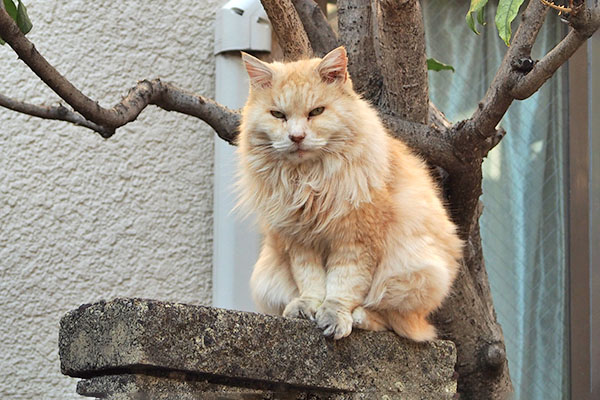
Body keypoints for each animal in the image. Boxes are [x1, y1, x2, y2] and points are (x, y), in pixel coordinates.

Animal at [237, 46, 462, 340]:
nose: (296, 137)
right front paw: (307, 308)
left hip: (413, 273)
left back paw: (361, 317)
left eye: (316, 112)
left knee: (397, 323)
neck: (309, 181)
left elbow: (343, 285)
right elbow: (311, 281)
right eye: (278, 115)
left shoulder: (356, 239)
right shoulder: (299, 241)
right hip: (264, 279)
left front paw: (334, 317)